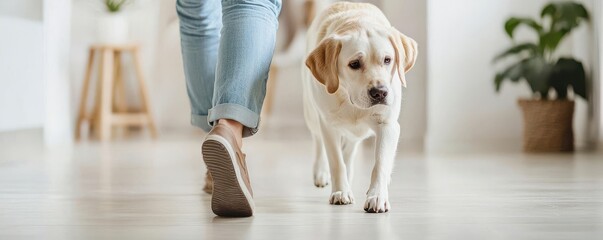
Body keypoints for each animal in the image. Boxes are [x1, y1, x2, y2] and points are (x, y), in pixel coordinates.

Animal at [304, 1, 418, 212]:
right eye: (354, 64)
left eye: (388, 60)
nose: (380, 92)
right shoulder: (329, 126)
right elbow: (336, 161)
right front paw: (340, 192)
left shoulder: (388, 125)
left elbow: (380, 164)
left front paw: (377, 196)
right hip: (312, 115)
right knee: (318, 142)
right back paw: (321, 172)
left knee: (351, 147)